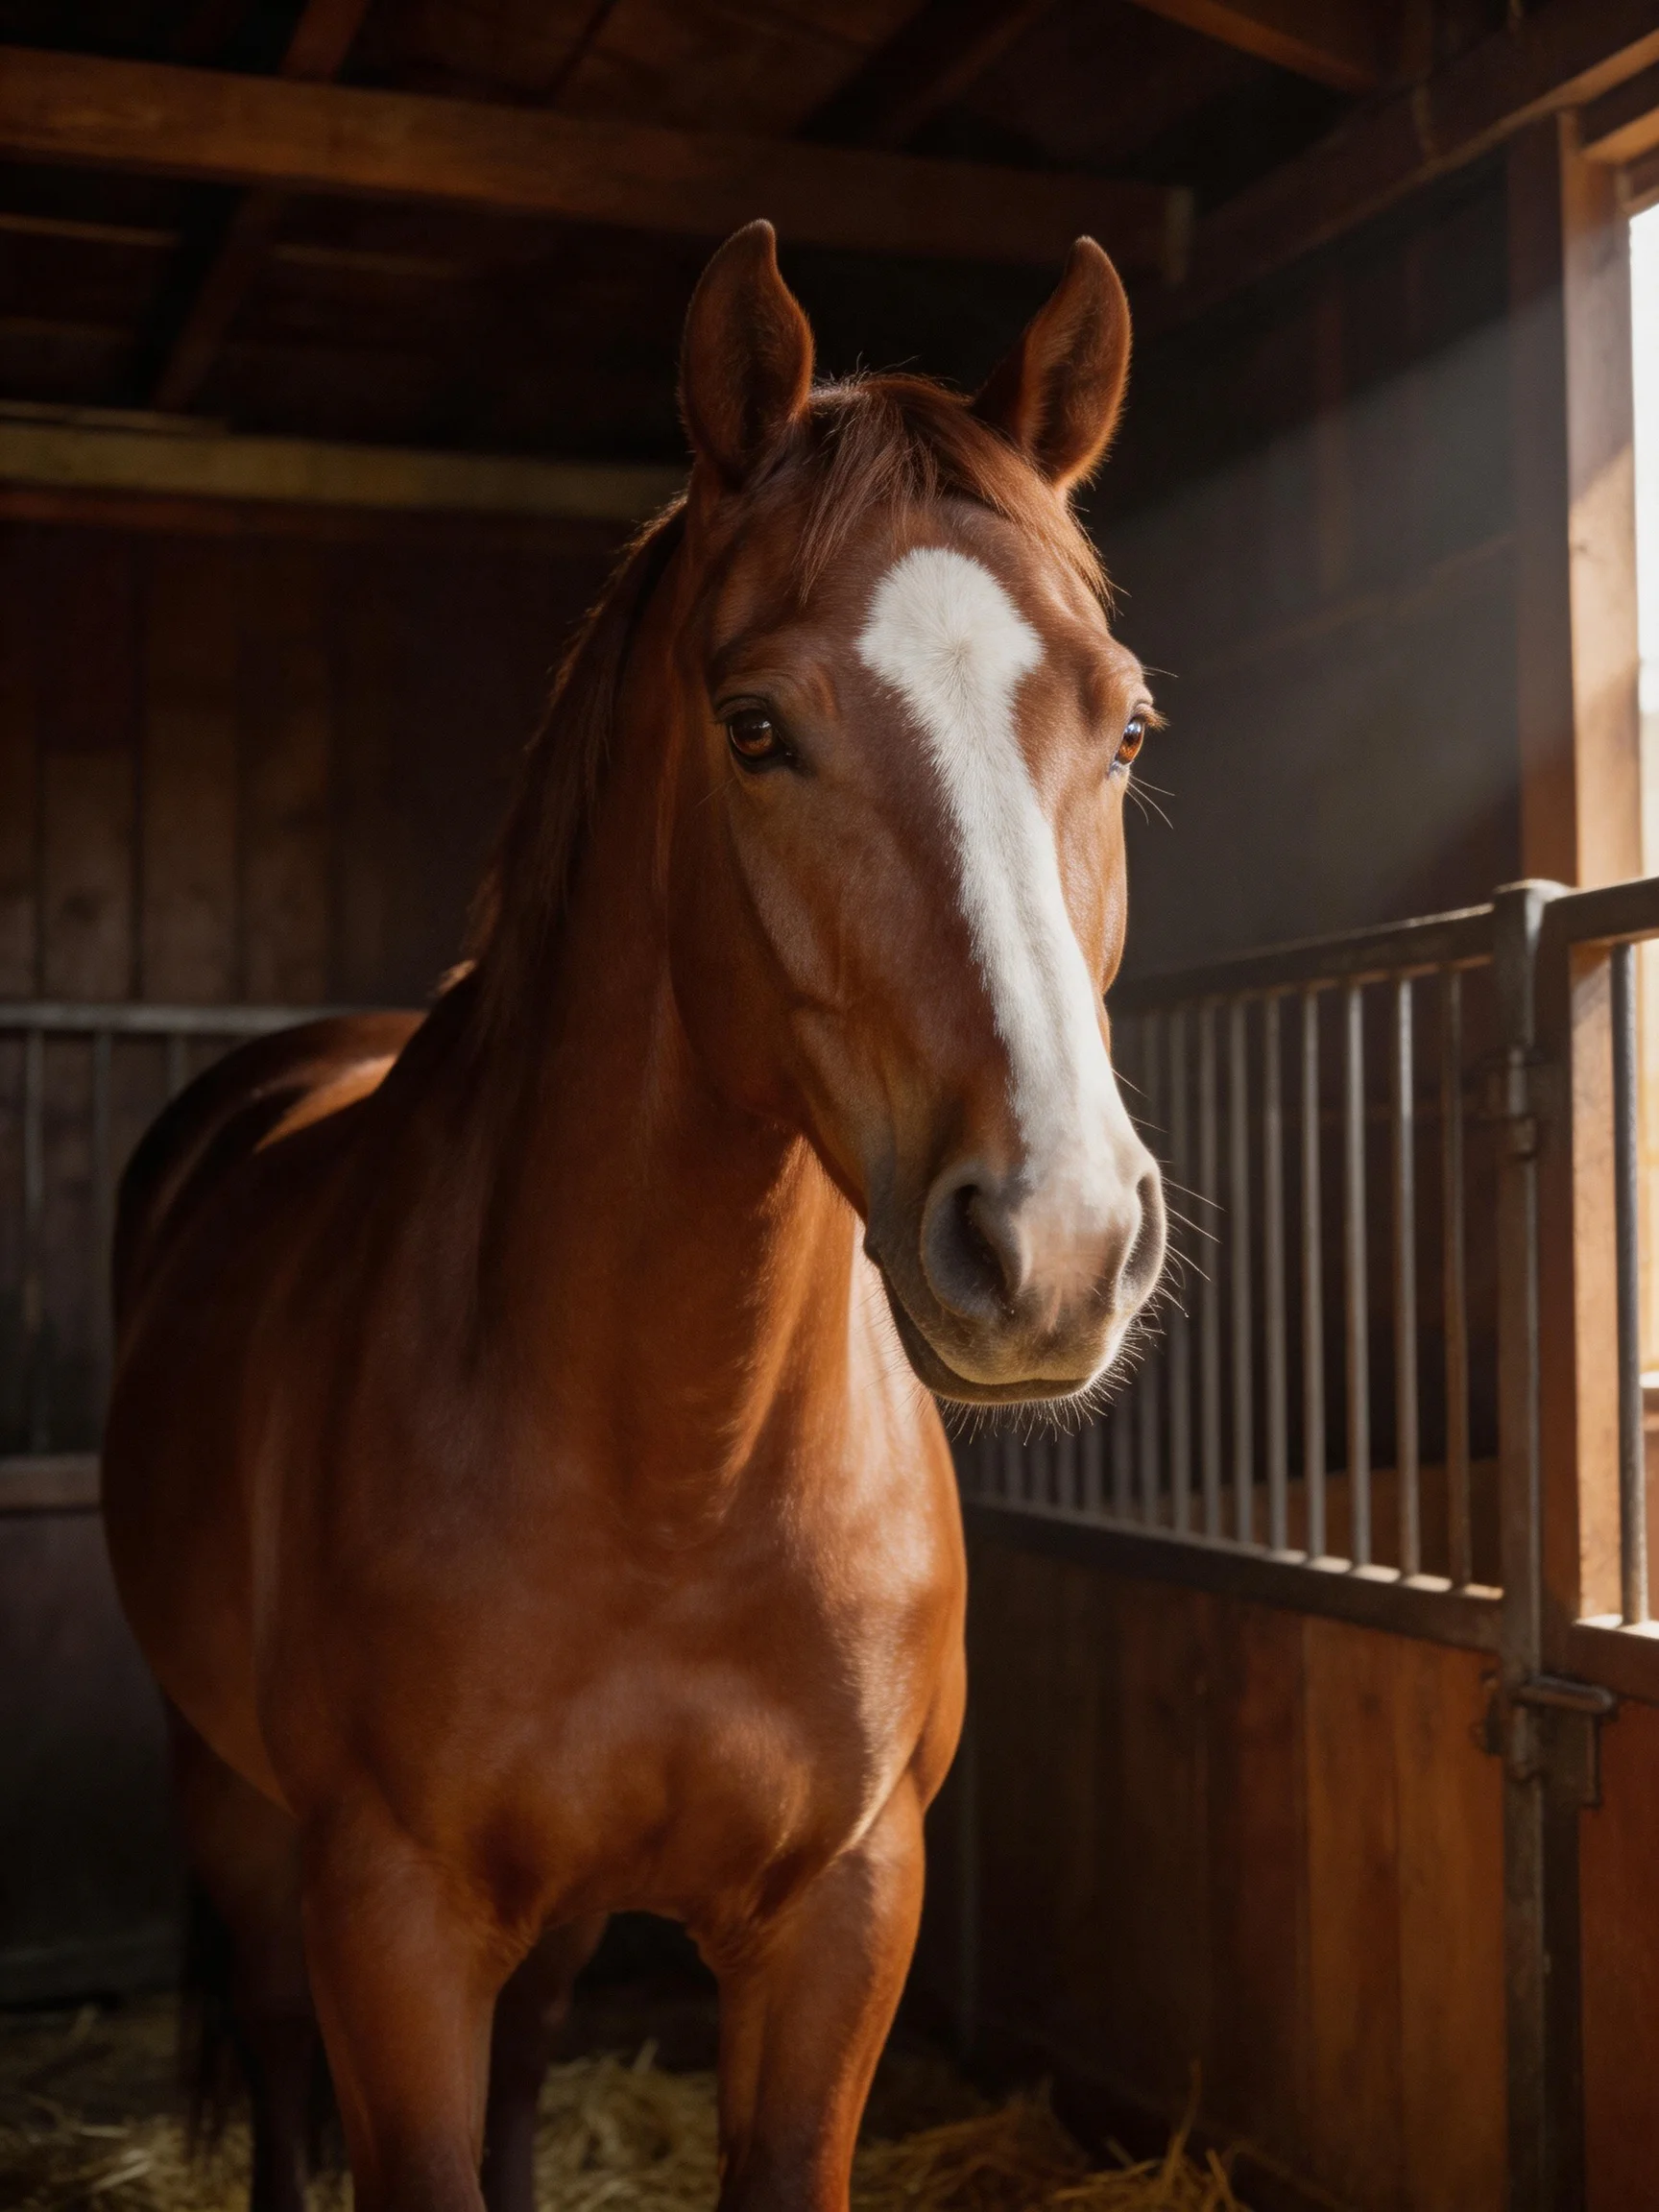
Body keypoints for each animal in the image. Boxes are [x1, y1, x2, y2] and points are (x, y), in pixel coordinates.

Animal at [101, 220, 1166, 2212]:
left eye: (1126, 723)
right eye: (753, 725)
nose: (1056, 1240)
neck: (677, 1471)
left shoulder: (844, 1913)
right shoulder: (391, 1926)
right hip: (233, 1805)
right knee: (271, 2050)